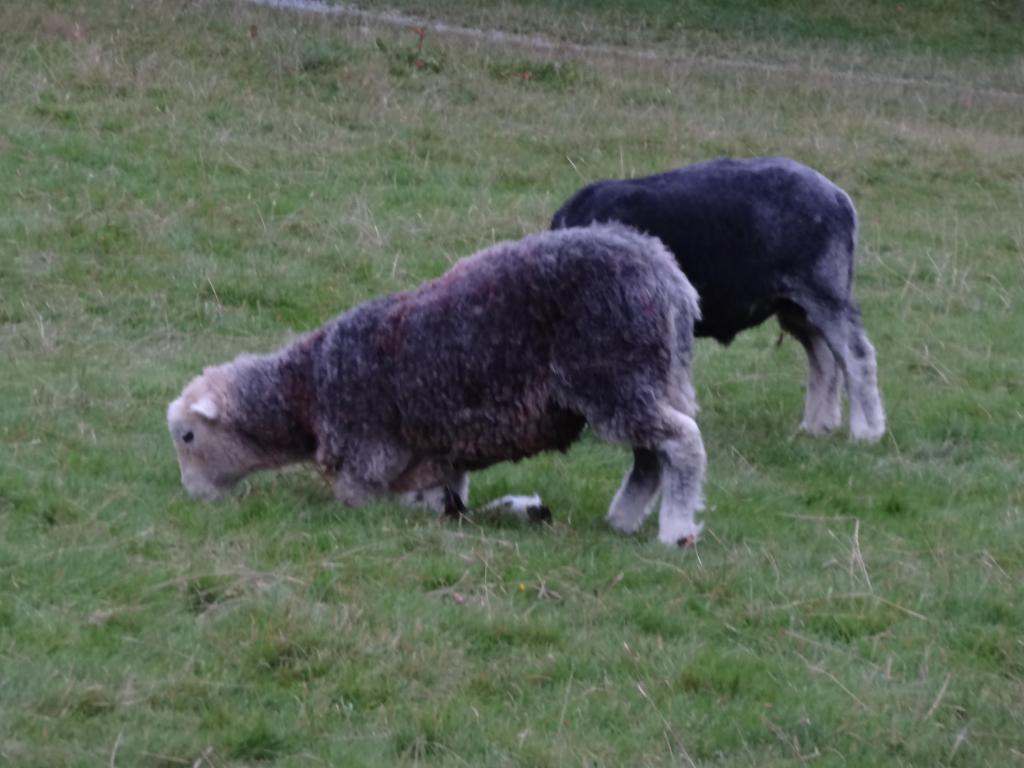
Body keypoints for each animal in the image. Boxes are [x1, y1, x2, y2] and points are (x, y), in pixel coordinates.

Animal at [169, 225, 712, 544]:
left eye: (189, 437)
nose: (192, 497)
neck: (306, 389)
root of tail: (670, 280)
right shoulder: (440, 453)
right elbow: (446, 500)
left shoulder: (366, 459)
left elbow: (371, 500)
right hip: (646, 380)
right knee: (650, 456)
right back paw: (622, 520)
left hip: (614, 376)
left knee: (682, 443)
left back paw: (676, 530)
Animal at [557, 156, 884, 442]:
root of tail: (839, 197)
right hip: (795, 306)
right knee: (824, 359)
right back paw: (817, 425)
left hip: (824, 293)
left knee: (857, 356)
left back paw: (866, 431)